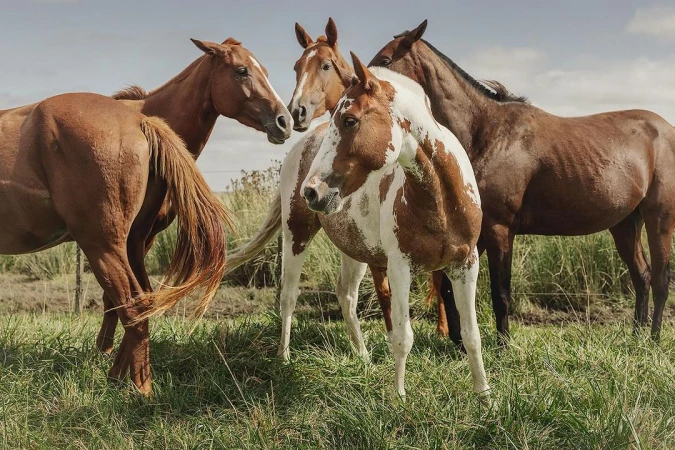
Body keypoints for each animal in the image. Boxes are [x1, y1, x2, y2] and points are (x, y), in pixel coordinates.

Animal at [0, 94, 230, 395]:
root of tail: (139, 121)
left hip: (103, 248)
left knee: (132, 308)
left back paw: (140, 391)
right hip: (132, 245)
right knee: (142, 303)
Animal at [92, 37, 292, 355]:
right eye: (241, 71)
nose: (285, 121)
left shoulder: (146, 234)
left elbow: (123, 295)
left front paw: (107, 348)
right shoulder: (128, 235)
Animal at [301, 53, 489, 398]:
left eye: (349, 120)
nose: (311, 191)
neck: (441, 199)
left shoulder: (466, 264)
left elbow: (471, 336)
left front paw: (485, 397)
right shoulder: (400, 266)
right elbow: (403, 337)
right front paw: (399, 397)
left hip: (355, 252)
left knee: (346, 294)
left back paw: (362, 357)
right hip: (296, 233)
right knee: (288, 294)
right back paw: (283, 357)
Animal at [369, 20, 675, 342]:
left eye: (386, 60)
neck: (486, 133)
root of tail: (665, 129)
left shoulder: (500, 229)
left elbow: (500, 293)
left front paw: (503, 344)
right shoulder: (477, 234)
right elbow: (450, 288)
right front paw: (459, 341)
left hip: (659, 219)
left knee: (660, 279)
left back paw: (653, 338)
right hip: (625, 224)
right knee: (641, 276)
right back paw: (638, 334)